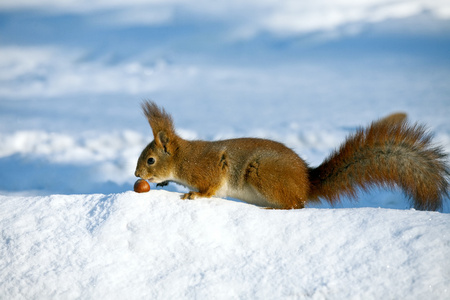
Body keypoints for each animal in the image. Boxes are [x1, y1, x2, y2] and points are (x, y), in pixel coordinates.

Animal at [134, 102, 450, 210]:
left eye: (150, 160)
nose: (137, 175)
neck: (182, 159)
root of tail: (306, 183)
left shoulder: (207, 169)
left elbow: (210, 187)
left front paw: (194, 195)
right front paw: (165, 184)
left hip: (263, 174)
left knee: (296, 205)